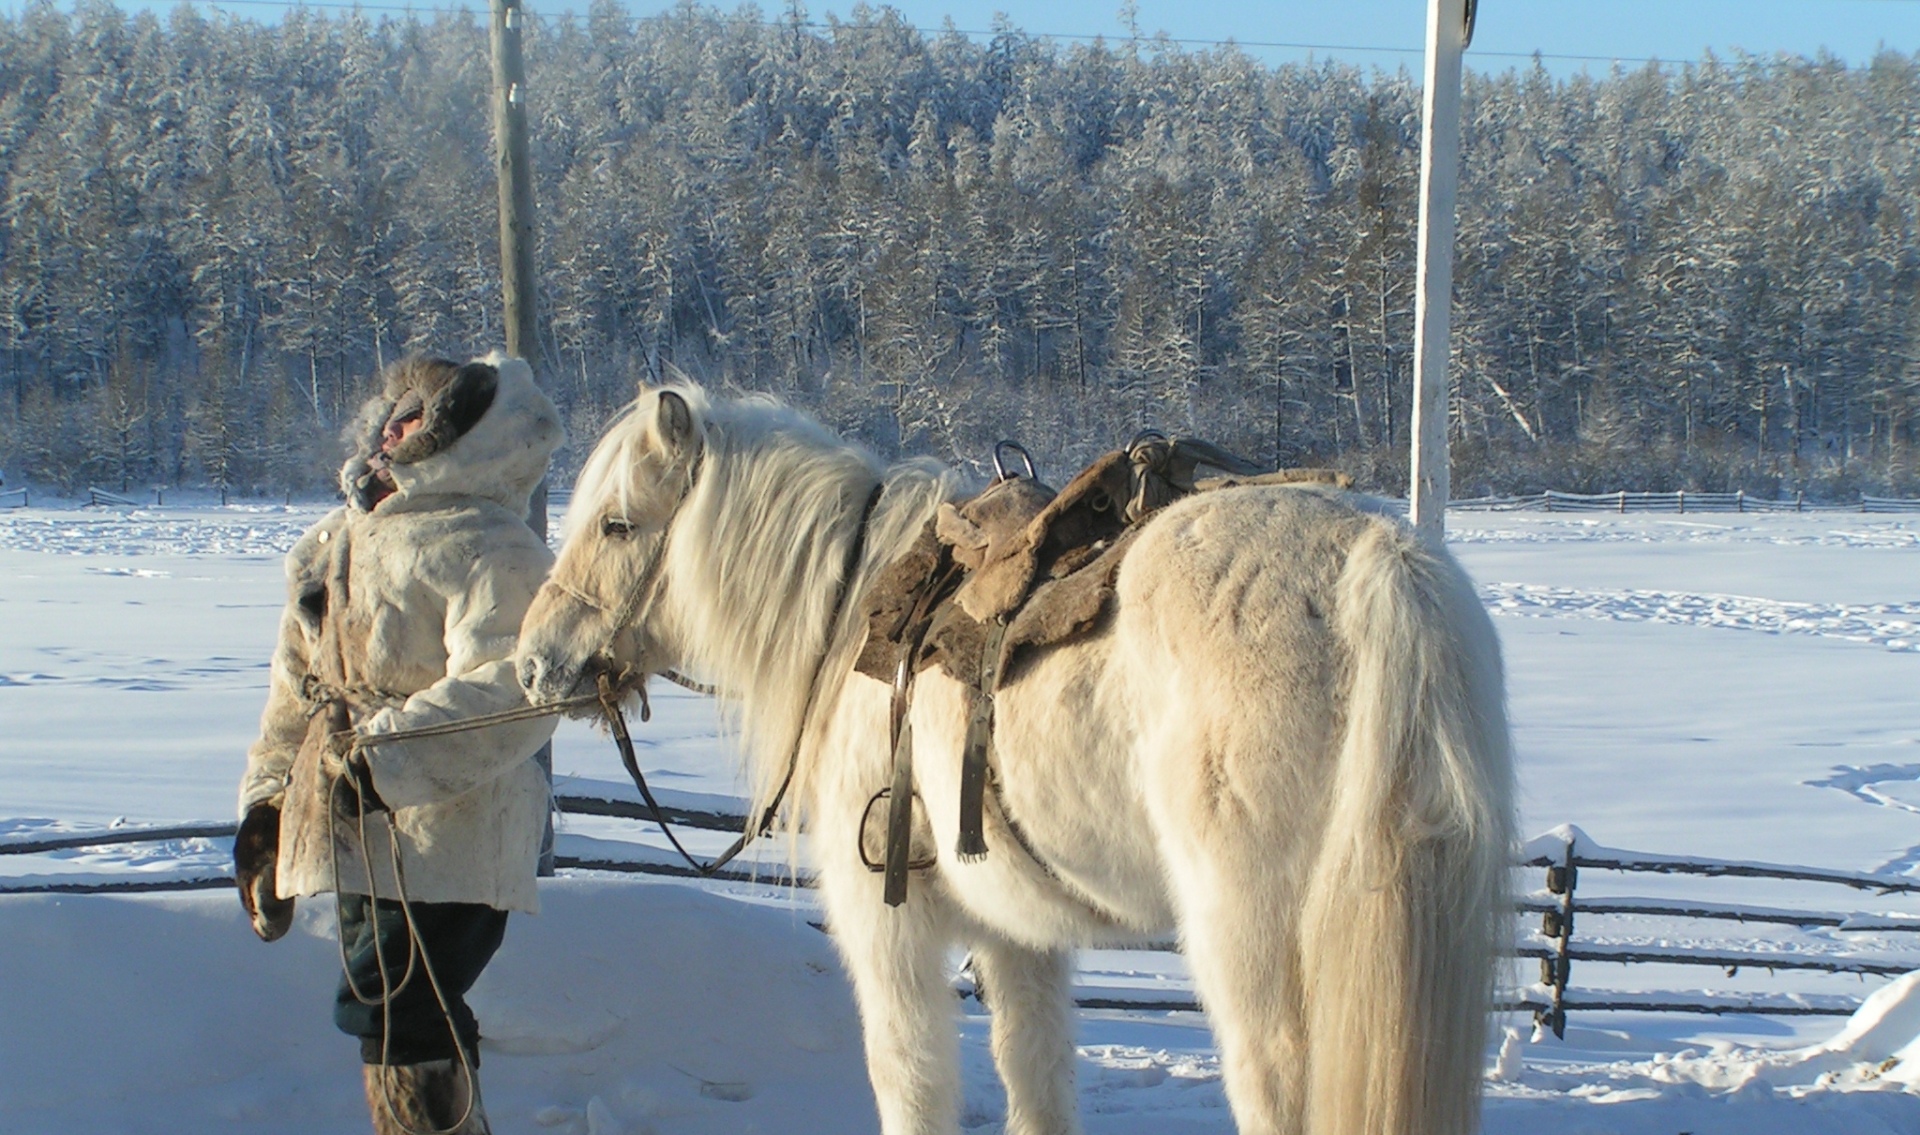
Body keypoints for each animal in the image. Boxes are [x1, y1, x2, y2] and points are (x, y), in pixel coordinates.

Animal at [514, 384, 1512, 1135]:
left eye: (615, 525)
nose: (533, 659)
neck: (847, 619)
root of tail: (1379, 561)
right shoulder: (1020, 938)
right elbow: (1035, 1082)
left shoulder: (890, 933)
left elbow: (912, 1084)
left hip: (1258, 953)